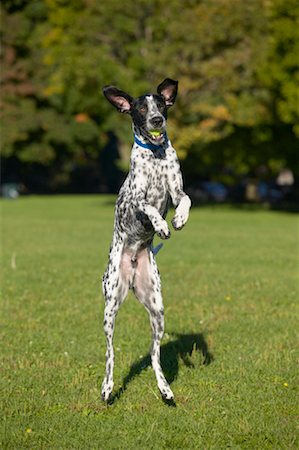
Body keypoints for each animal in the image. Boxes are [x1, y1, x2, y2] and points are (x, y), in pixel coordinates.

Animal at [102, 78, 192, 400]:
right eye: (141, 108)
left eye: (162, 104)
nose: (156, 120)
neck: (154, 155)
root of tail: (130, 268)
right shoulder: (135, 199)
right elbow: (149, 207)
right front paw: (162, 225)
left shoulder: (176, 191)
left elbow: (186, 199)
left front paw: (178, 219)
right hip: (110, 308)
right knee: (110, 352)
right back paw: (107, 386)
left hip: (157, 309)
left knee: (154, 353)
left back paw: (164, 387)